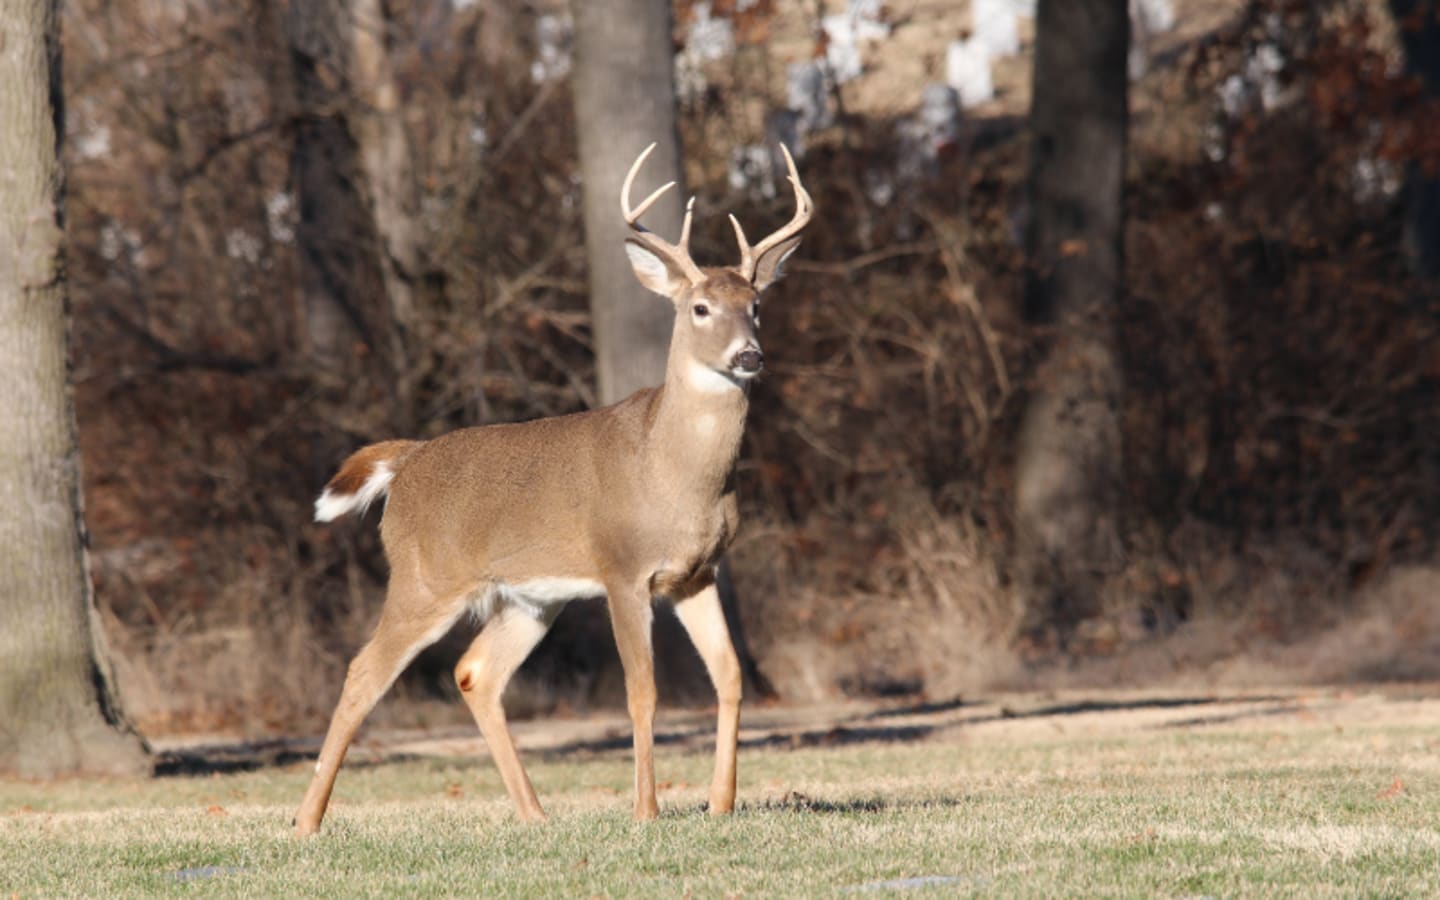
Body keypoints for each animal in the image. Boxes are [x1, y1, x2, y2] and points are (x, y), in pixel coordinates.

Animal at [294, 142, 812, 836]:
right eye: (699, 308)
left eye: (756, 305)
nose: (749, 355)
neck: (677, 475)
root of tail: (406, 463)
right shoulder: (623, 569)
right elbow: (642, 691)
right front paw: (646, 811)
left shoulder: (697, 573)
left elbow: (729, 676)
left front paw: (720, 803)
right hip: (424, 579)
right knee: (363, 672)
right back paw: (306, 822)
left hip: (530, 598)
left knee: (475, 672)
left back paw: (535, 814)